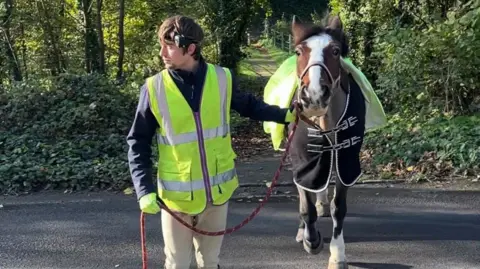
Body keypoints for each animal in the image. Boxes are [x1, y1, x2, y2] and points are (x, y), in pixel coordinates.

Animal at [284, 14, 368, 268]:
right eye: (299, 52)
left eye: (336, 51)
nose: (314, 96)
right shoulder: (303, 159)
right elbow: (306, 205)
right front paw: (311, 240)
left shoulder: (346, 159)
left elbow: (338, 207)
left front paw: (337, 254)